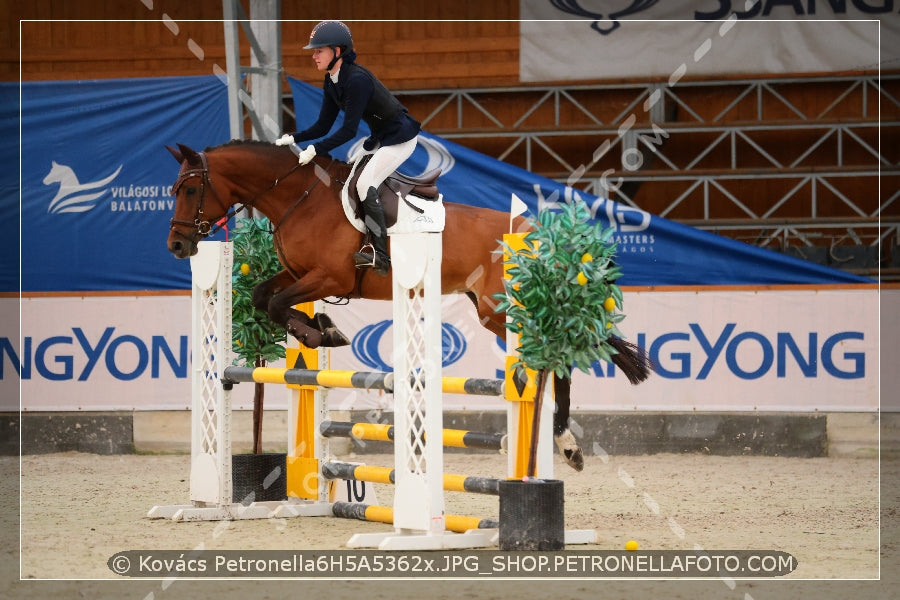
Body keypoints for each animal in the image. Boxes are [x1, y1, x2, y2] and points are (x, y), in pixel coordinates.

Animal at [165, 138, 652, 472]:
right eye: (174, 189)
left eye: (189, 190)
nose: (176, 245)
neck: (298, 199)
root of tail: (538, 234)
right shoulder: (300, 274)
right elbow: (264, 296)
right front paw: (323, 327)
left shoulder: (330, 276)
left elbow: (278, 303)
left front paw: (317, 333)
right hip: (493, 312)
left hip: (502, 311)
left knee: (559, 360)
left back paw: (567, 445)